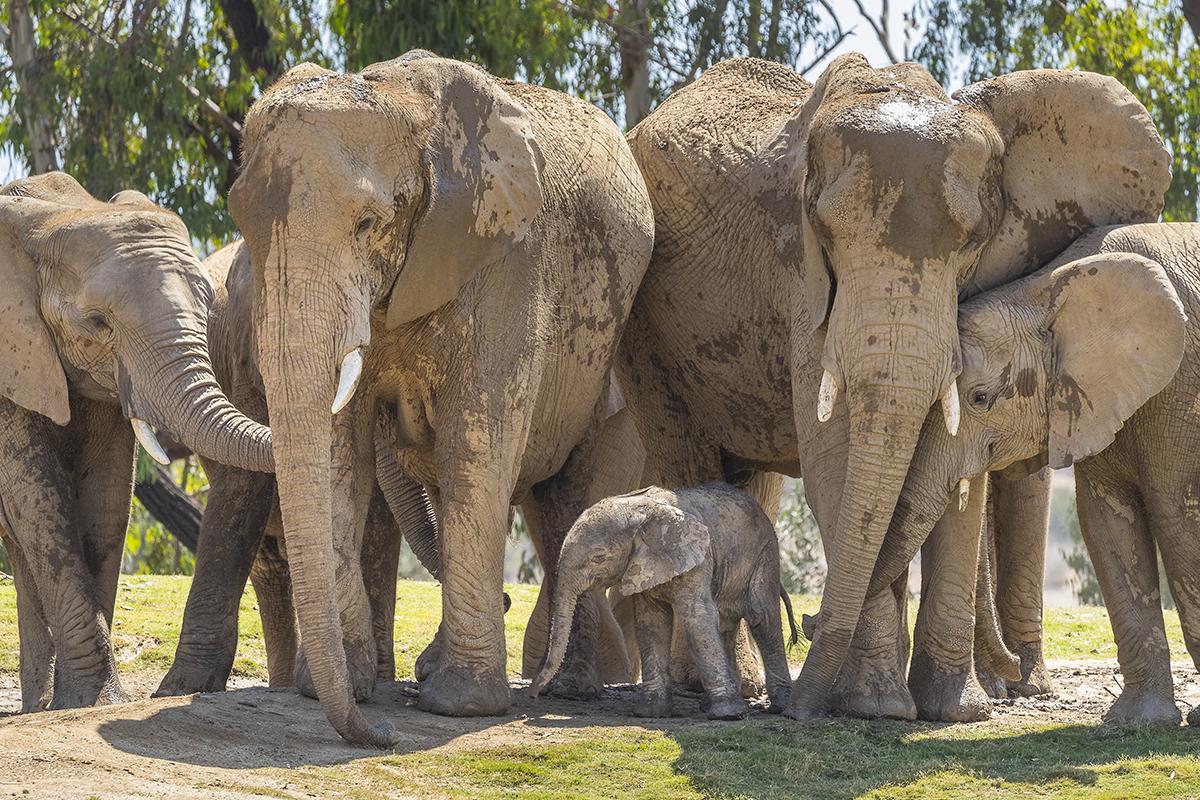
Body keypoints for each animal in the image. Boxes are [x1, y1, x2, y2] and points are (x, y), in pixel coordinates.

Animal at [0, 172, 272, 712]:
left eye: (207, 307)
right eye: (97, 323)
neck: (54, 217)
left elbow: (106, 499)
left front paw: (89, 703)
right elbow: (38, 495)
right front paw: (91, 701)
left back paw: (36, 706)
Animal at [154, 240, 440, 696]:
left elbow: (378, 522)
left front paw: (371, 677)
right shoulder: (244, 354)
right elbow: (242, 488)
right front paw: (178, 690)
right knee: (269, 567)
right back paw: (282, 684)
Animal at [227, 53, 654, 744]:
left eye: (368, 223)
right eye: (242, 223)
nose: (378, 734)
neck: (402, 102)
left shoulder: (509, 260)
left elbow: (476, 447)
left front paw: (460, 707)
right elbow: (341, 451)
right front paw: (344, 688)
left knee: (568, 496)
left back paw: (566, 688)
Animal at [531, 483, 792, 720]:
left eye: (599, 557)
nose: (533, 695)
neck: (640, 510)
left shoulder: (698, 558)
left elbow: (697, 620)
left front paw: (727, 715)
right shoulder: (643, 567)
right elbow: (652, 623)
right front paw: (651, 713)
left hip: (765, 553)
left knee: (762, 619)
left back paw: (779, 707)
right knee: (726, 625)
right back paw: (709, 705)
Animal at [867, 223, 1200, 726]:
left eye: (980, 398)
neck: (1046, 289)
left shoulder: (1182, 386)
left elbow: (1178, 515)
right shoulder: (1095, 400)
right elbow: (1105, 522)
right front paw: (1138, 721)